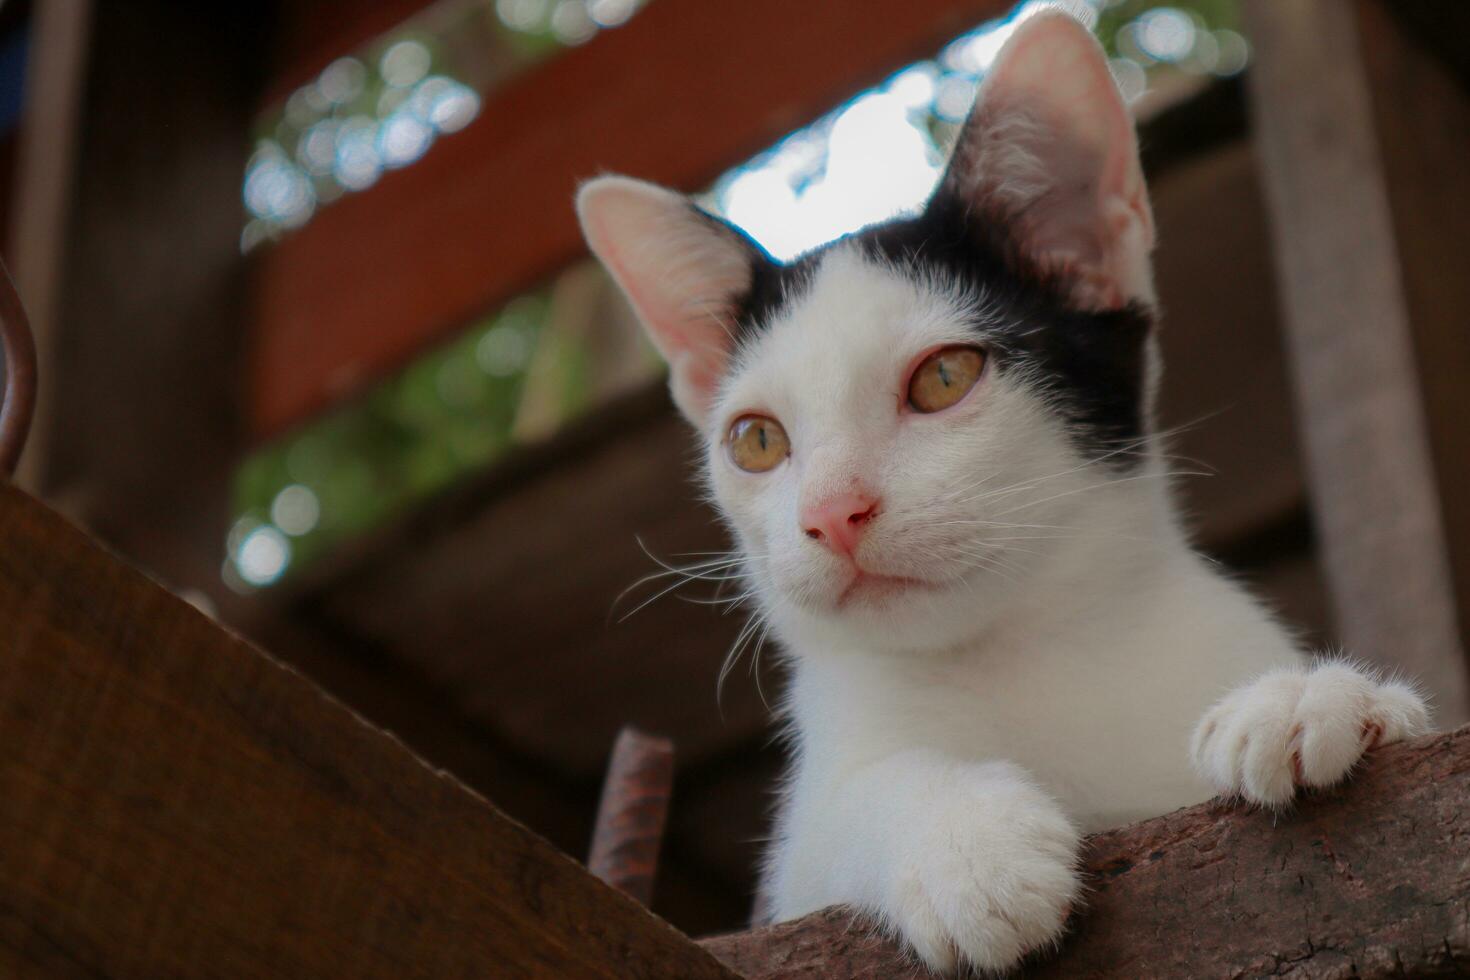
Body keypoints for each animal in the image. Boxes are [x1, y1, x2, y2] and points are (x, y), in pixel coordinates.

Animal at [573, 9, 1422, 975]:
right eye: (756, 440)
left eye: (944, 377)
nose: (830, 514)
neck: (1029, 651)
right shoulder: (792, 886)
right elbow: (848, 806)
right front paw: (964, 845)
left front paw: (1323, 700)